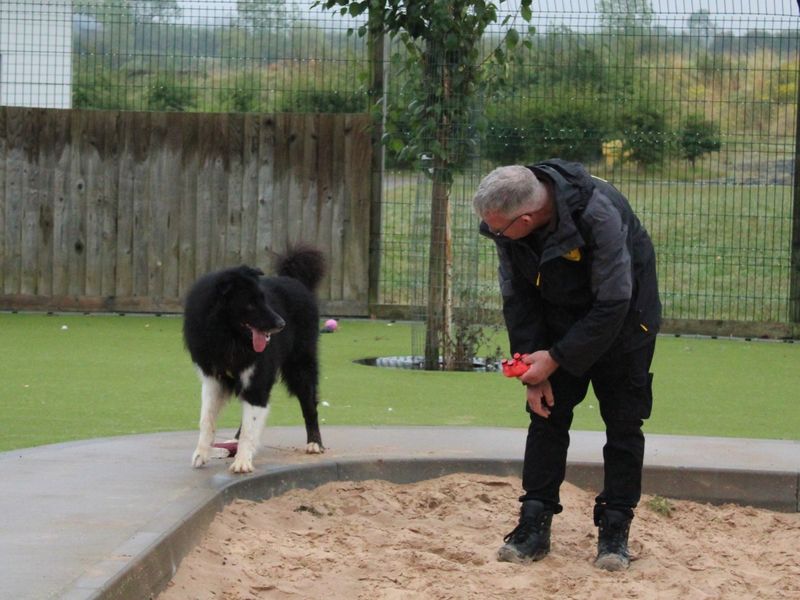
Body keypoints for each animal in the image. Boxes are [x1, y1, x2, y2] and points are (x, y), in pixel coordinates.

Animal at [184, 246, 324, 472]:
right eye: (250, 304)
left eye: (264, 299)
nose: (281, 324)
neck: (229, 338)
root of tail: (294, 281)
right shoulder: (213, 379)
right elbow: (207, 418)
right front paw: (201, 454)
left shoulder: (257, 378)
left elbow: (251, 424)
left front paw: (242, 462)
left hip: (300, 367)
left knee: (309, 405)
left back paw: (314, 444)